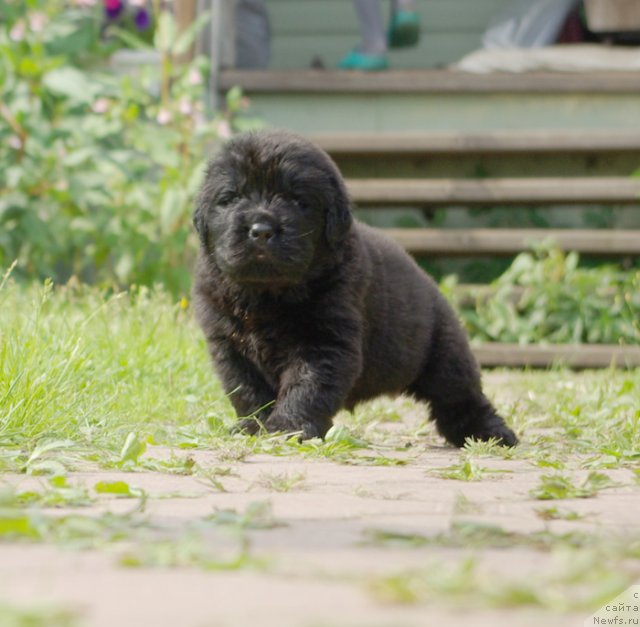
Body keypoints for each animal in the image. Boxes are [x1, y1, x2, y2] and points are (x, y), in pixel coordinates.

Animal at [192, 129, 516, 446]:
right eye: (232, 197)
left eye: (297, 200)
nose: (261, 230)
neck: (265, 295)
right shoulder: (230, 347)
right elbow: (248, 391)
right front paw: (253, 426)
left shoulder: (324, 343)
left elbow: (304, 388)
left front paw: (287, 428)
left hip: (444, 355)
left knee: (461, 397)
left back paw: (491, 434)